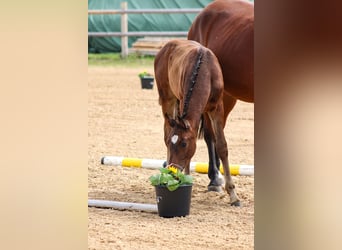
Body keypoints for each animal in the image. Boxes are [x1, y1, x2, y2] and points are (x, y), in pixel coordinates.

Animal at [155, 40, 240, 206]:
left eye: (184, 144)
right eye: (173, 144)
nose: (173, 174)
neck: (205, 70)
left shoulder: (216, 108)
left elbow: (221, 146)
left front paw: (233, 196)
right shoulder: (183, 101)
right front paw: (186, 180)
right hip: (167, 99)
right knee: (166, 132)